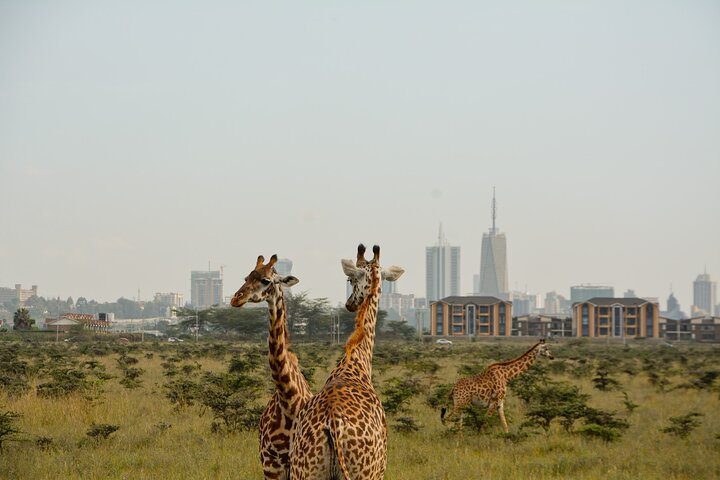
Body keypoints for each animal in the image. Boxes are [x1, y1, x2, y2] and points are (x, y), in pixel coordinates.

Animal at [292, 246, 404, 478]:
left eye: (350, 280)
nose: (349, 303)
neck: (356, 362)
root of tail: (333, 422)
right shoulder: (380, 472)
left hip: (305, 470)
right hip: (365, 471)